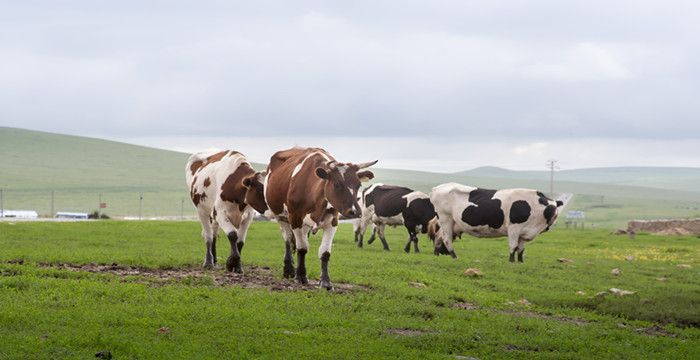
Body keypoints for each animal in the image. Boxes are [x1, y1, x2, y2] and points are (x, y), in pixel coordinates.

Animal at [264, 146, 378, 290]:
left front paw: (325, 282)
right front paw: (300, 276)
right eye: (337, 184)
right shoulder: (295, 218)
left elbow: (325, 253)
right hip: (280, 216)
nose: (355, 211)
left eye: (358, 185)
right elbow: (302, 248)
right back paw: (289, 269)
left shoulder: (332, 222)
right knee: (288, 239)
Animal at [430, 183, 568, 262]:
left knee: (439, 237)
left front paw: (520, 262)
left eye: (556, 209)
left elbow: (521, 249)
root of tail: (438, 187)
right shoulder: (514, 228)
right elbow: (513, 246)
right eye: (550, 209)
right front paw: (511, 261)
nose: (553, 219)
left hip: (451, 224)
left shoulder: (524, 233)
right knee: (447, 239)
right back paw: (454, 257)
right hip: (445, 219)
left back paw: (436, 254)